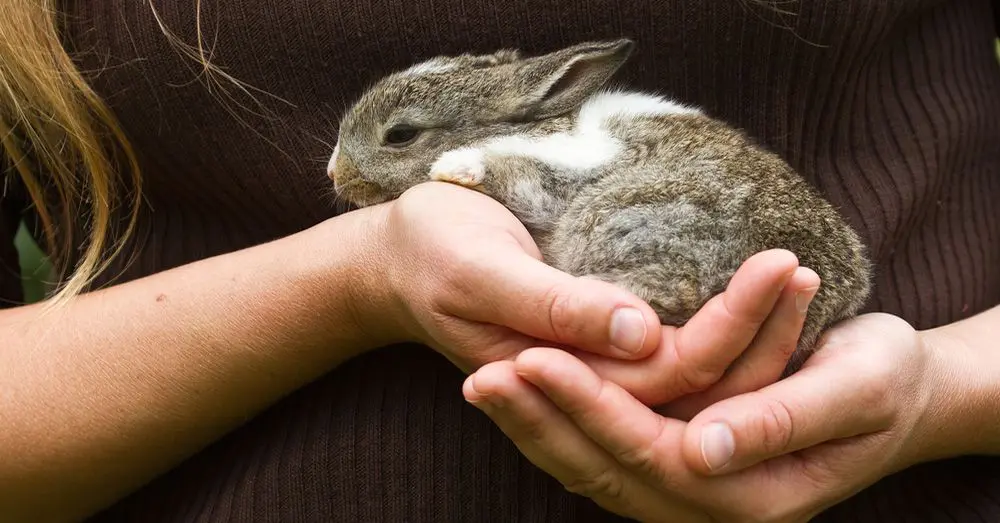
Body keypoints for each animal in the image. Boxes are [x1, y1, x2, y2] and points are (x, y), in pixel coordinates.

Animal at [328, 39, 868, 370]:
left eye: (401, 135)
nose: (335, 173)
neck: (539, 125)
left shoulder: (570, 172)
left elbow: (520, 173)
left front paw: (455, 167)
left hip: (625, 214)